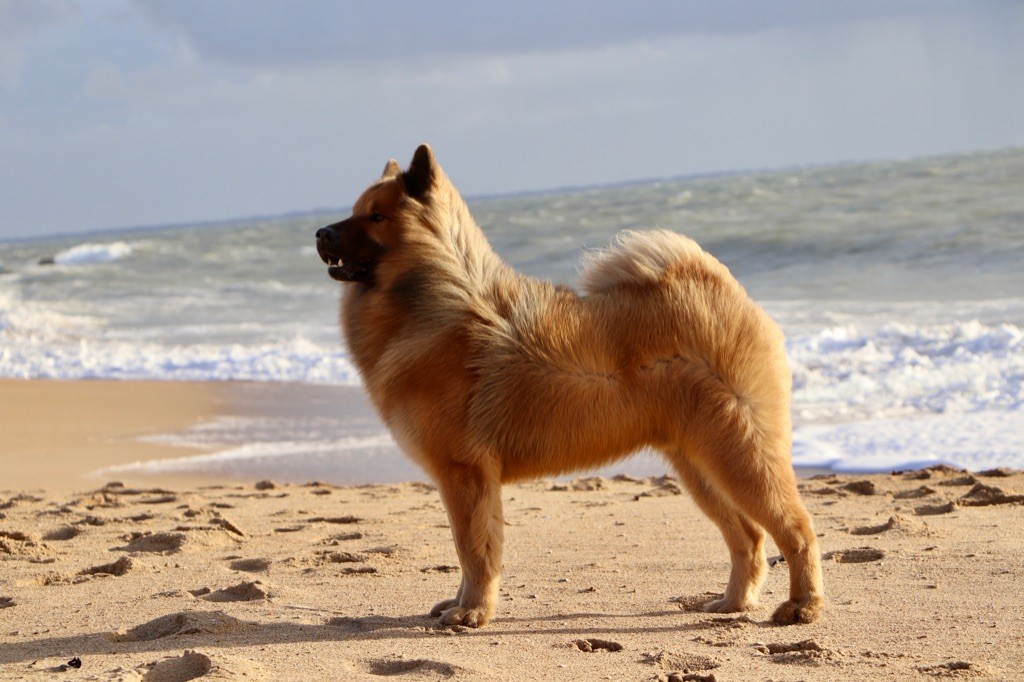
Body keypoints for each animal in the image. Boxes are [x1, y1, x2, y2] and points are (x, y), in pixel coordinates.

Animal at [311, 144, 823, 626]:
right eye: (355, 210)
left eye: (375, 217)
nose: (320, 233)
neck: (432, 297)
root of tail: (725, 292)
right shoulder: (470, 479)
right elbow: (473, 551)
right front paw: (460, 606)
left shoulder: (464, 473)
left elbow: (472, 551)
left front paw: (471, 612)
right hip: (699, 465)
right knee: (749, 536)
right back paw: (733, 602)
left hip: (739, 456)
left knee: (796, 529)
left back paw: (802, 606)